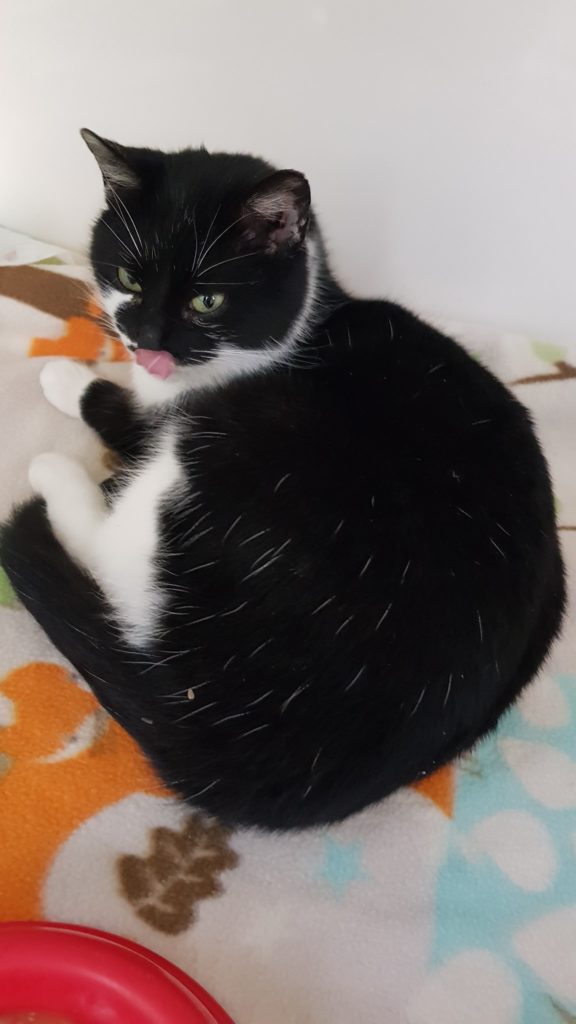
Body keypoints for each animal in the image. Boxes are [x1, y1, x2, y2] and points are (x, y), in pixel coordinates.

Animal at [0, 130, 565, 830]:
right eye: (129, 277)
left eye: (207, 300)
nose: (144, 340)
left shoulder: (188, 408)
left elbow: (125, 414)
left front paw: (66, 377)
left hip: (230, 450)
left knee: (112, 558)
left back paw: (59, 477)